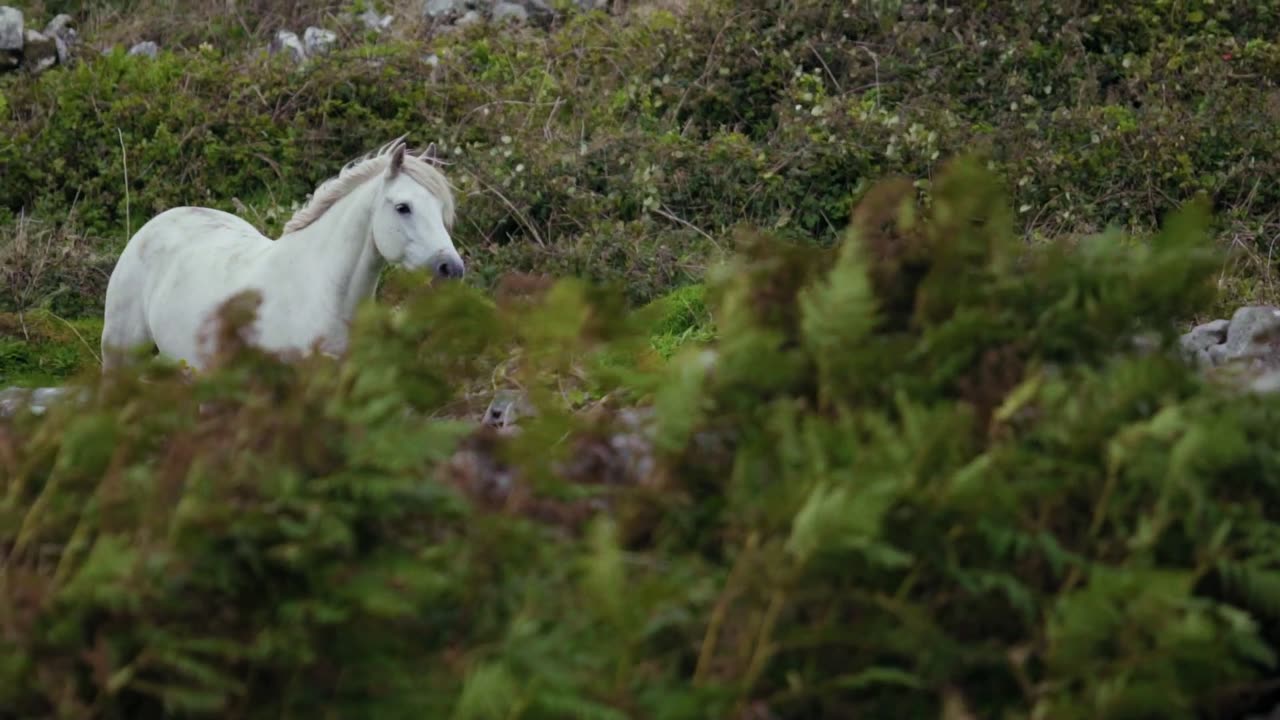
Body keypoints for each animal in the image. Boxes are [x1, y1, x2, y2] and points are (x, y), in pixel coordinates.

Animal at [98, 135, 465, 368]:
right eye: (403, 207)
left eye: (440, 209)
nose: (452, 268)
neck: (319, 292)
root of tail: (152, 225)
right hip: (123, 356)